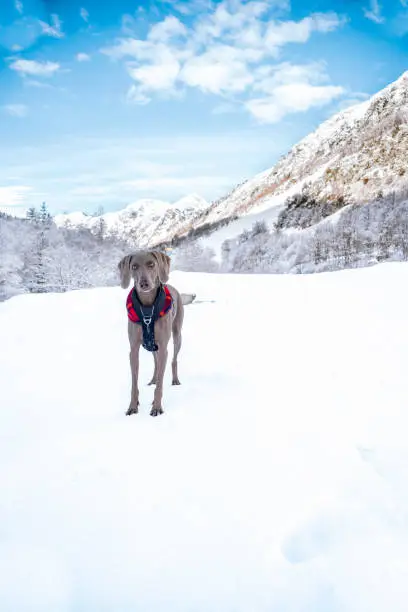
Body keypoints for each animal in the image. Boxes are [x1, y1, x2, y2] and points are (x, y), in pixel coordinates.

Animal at [118, 249, 194, 416]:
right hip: (152, 345)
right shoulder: (133, 350)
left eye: (151, 264)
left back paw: (174, 380)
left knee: (172, 360)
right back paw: (153, 379)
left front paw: (156, 407)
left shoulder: (163, 346)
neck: (147, 306)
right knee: (156, 363)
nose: (144, 284)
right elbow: (134, 383)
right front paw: (132, 406)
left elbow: (160, 383)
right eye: (134, 266)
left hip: (176, 335)